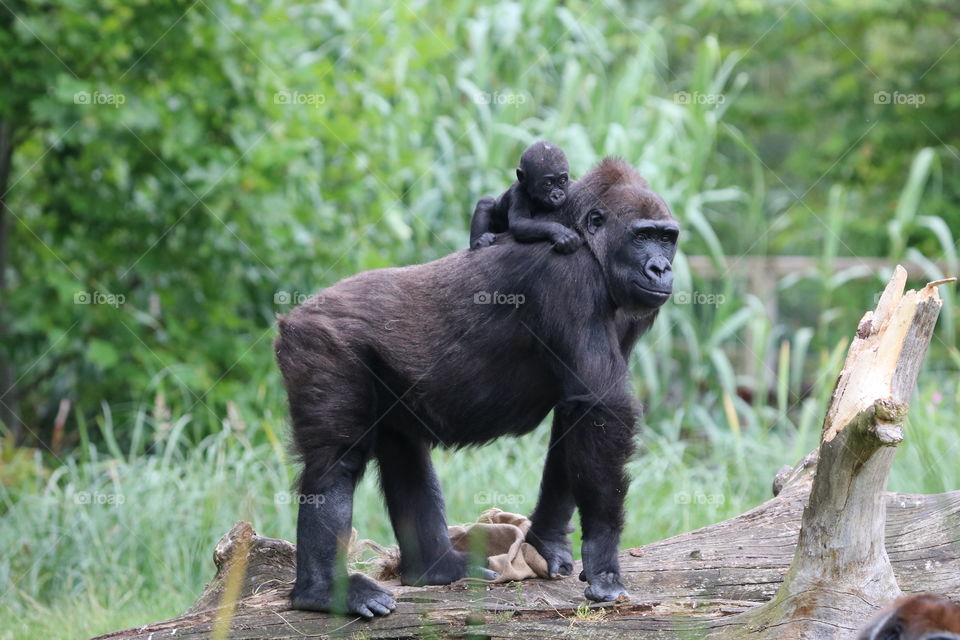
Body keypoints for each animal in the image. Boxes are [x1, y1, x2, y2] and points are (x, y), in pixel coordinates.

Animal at [275, 157, 678, 617]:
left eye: (667, 238)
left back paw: (436, 568)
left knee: (403, 452)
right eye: (641, 236)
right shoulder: (570, 276)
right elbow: (600, 408)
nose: (662, 268)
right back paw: (322, 590)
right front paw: (604, 558)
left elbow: (577, 416)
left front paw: (546, 541)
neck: (592, 246)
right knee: (336, 461)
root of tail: (294, 317)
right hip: (319, 343)